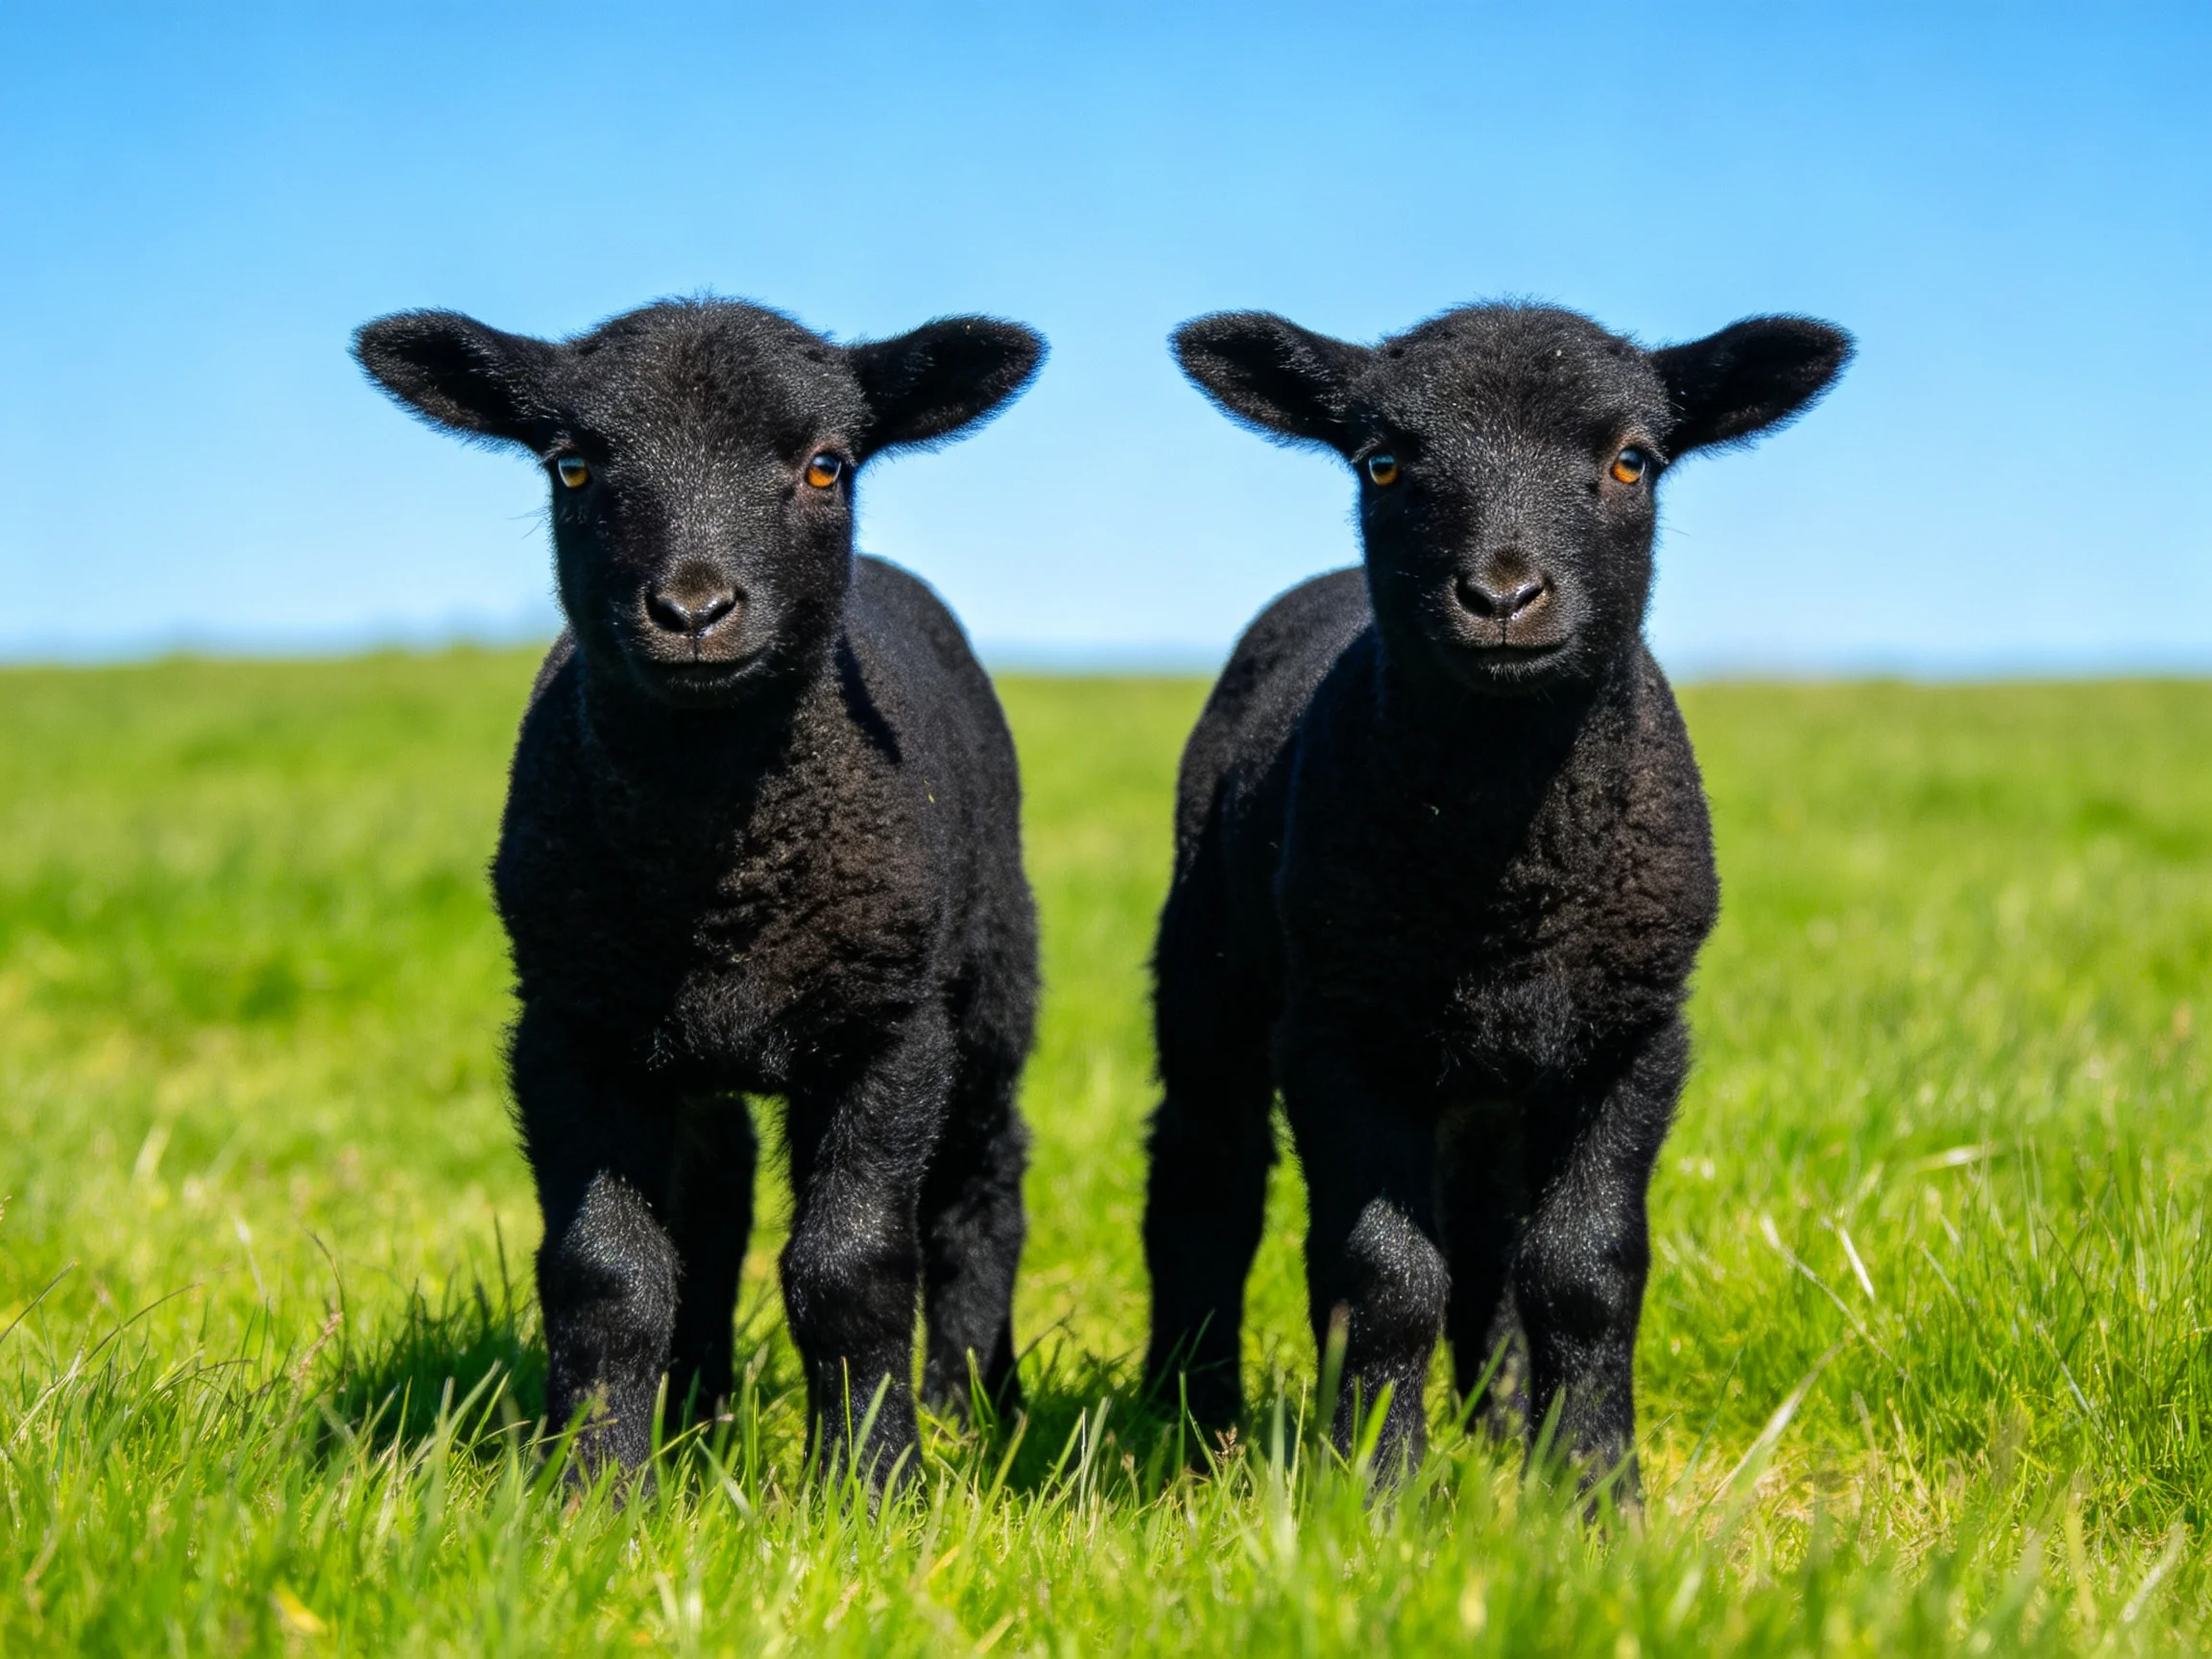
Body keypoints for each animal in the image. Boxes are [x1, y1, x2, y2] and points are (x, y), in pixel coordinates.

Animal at [352, 297, 1045, 1489]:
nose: (691, 609)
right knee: (717, 1192)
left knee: (980, 1186)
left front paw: (872, 1485)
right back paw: (700, 1411)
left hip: (988, 985)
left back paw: (964, 1409)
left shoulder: (887, 1028)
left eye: (825, 465)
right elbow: (610, 1270)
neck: (722, 879)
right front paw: (592, 1484)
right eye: (573, 465)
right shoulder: (572, 1030)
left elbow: (855, 1264)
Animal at [1142, 302, 1852, 1494]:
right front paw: (1374, 1491)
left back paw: (1498, 1421)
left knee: (1485, 1233)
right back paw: (1191, 1419)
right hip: (1214, 976)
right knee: (1206, 1173)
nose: (1504, 598)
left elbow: (1582, 1272)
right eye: (1382, 463)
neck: (1509, 883)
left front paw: (1592, 1491)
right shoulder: (1340, 1035)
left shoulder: (1634, 1037)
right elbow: (1382, 1276)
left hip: (1489, 1073)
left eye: (1631, 460)